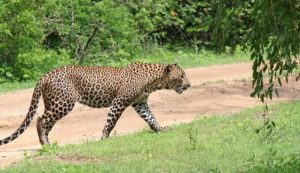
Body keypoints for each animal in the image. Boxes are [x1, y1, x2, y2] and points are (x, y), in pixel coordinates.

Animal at [0, 61, 191, 145]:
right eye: (181, 76)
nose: (189, 85)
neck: (154, 82)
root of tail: (46, 75)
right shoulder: (119, 102)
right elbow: (111, 121)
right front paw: (104, 138)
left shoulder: (140, 104)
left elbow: (150, 118)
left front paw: (160, 129)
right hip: (63, 103)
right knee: (41, 119)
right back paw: (45, 144)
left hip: (52, 102)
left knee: (46, 122)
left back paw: (47, 143)